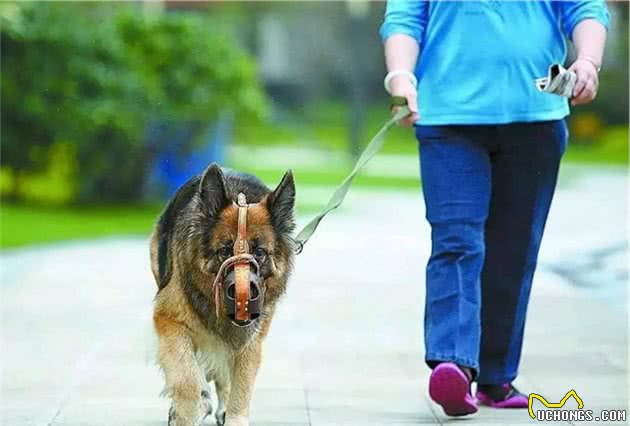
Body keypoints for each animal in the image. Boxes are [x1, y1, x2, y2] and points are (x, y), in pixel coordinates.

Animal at [151, 164, 296, 426]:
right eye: (225, 251)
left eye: (259, 252)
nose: (243, 296)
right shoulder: (169, 322)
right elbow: (187, 378)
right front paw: (186, 413)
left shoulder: (250, 341)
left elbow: (241, 385)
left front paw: (232, 415)